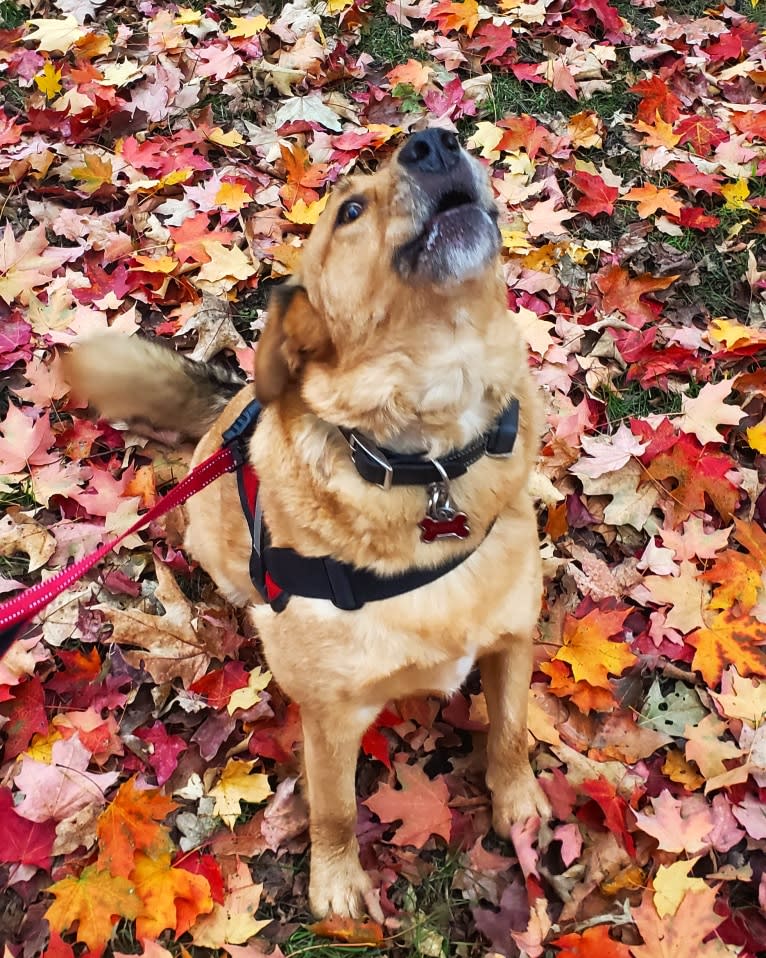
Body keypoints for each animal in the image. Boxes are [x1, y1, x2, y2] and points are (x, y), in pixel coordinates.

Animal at [67, 131, 552, 920]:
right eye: (349, 210)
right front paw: (337, 883)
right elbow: (334, 809)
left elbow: (509, 734)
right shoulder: (331, 716)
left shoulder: (512, 640)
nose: (435, 140)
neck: (429, 457)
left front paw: (520, 806)